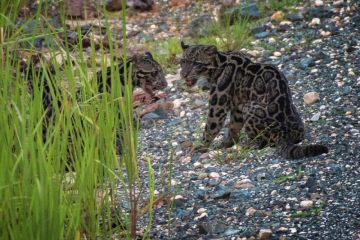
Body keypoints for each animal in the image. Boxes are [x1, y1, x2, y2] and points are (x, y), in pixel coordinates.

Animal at [180, 41, 330, 159]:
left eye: (196, 63)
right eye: (183, 62)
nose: (183, 74)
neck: (218, 64)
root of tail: (286, 134)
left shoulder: (218, 105)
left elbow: (211, 127)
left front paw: (200, 147)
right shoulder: (237, 108)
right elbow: (233, 127)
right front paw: (227, 144)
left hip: (249, 107)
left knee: (263, 142)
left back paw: (247, 145)